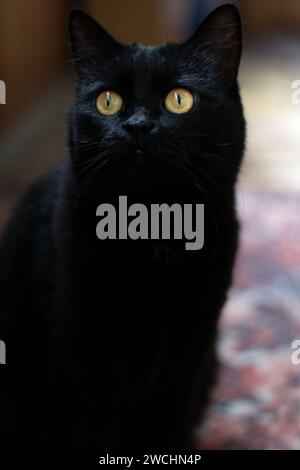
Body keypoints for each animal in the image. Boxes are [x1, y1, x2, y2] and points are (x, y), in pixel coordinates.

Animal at [0, 3, 245, 450]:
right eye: (108, 101)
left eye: (179, 99)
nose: (137, 125)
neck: (150, 230)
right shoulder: (78, 341)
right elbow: (91, 427)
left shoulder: (190, 348)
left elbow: (169, 423)